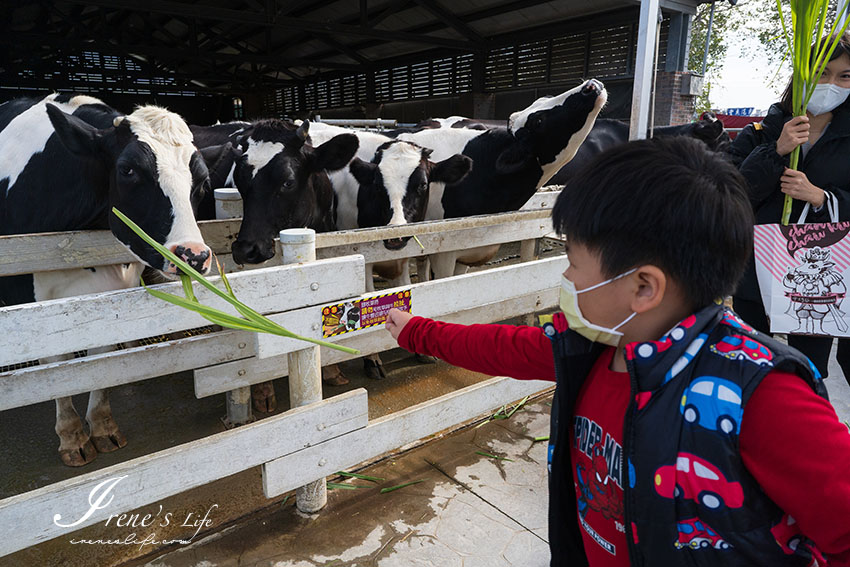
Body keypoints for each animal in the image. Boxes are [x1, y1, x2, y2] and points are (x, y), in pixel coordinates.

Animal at [0, 92, 212, 466]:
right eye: (128, 169)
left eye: (201, 180)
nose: (194, 255)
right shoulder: (27, 298)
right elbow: (57, 369)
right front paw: (71, 436)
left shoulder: (112, 292)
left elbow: (103, 360)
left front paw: (101, 426)